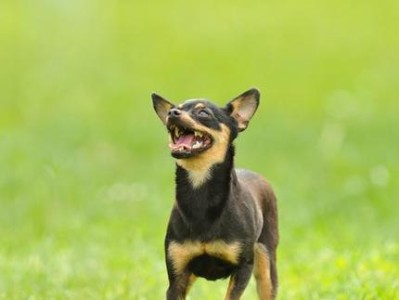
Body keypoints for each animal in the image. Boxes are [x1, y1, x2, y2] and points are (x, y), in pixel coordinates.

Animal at [152, 89, 280, 300]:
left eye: (203, 113)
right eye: (175, 109)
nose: (172, 113)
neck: (200, 192)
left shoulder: (243, 267)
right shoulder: (177, 275)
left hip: (266, 265)